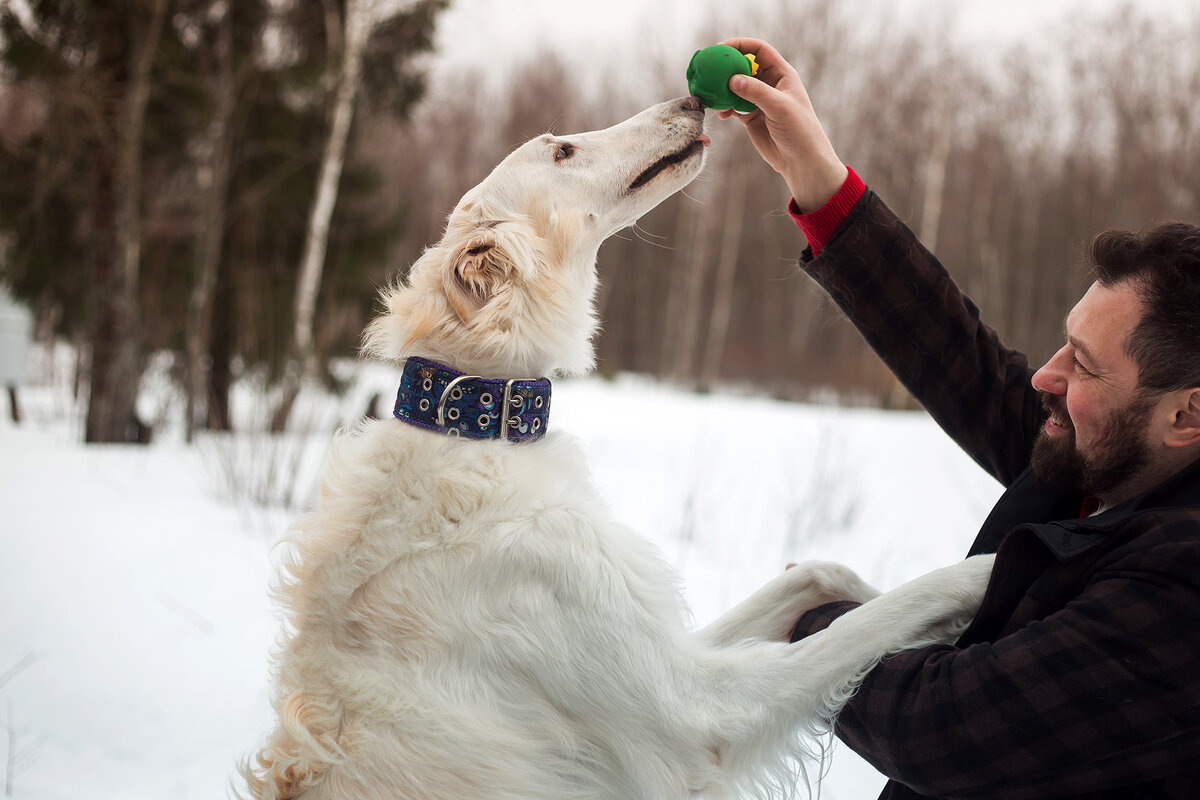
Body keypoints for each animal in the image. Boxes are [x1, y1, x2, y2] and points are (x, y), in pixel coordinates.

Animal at [241, 100, 993, 800]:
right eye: (563, 151)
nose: (688, 102)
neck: (477, 422)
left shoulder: (666, 641)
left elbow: (820, 572)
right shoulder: (694, 708)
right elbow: (876, 620)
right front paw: (983, 577)